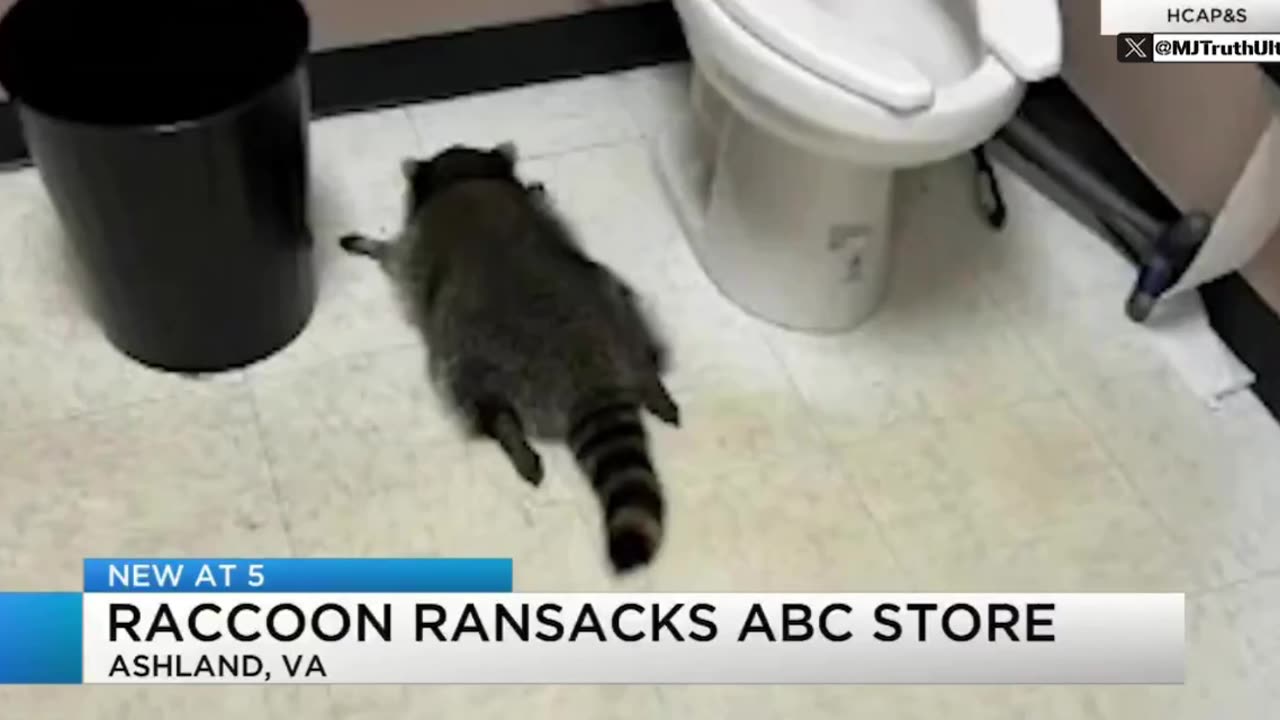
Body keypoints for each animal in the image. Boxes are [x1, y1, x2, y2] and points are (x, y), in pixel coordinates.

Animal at [338, 143, 680, 574]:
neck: (465, 174)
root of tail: (589, 373)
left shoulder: (414, 247)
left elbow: (395, 256)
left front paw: (372, 245)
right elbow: (538, 202)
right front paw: (535, 188)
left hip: (470, 349)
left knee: (470, 391)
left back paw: (509, 434)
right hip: (612, 298)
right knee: (629, 315)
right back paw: (652, 383)